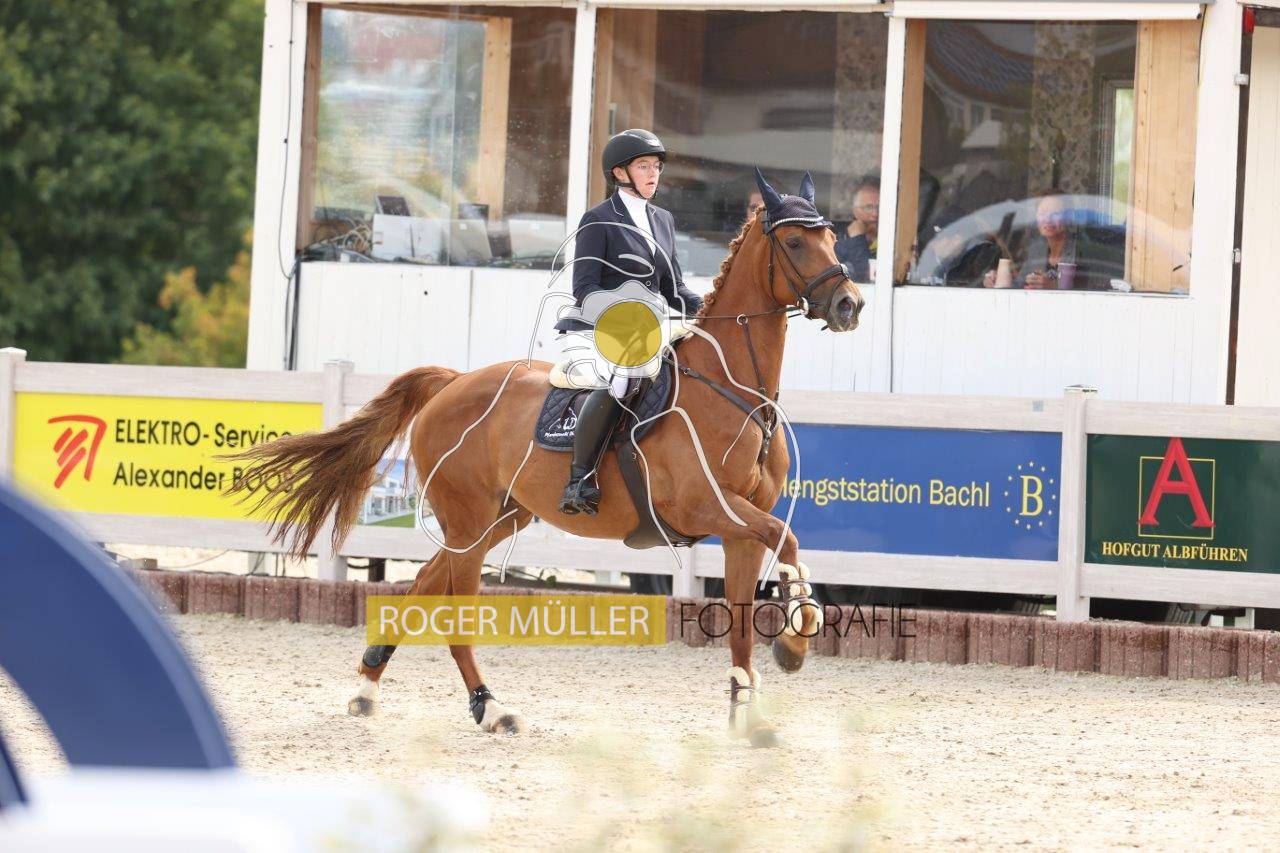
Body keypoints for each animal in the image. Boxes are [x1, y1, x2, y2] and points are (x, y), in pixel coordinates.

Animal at [226, 170, 863, 747]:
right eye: (795, 242)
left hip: (498, 517)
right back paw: (492, 709)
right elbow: (788, 540)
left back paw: (367, 686)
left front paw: (749, 717)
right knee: (453, 609)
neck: (732, 388)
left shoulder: (737, 528)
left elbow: (744, 615)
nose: (849, 304)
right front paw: (795, 642)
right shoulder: (706, 506)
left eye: (832, 238)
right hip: (472, 522)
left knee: (425, 584)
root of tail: (452, 383)